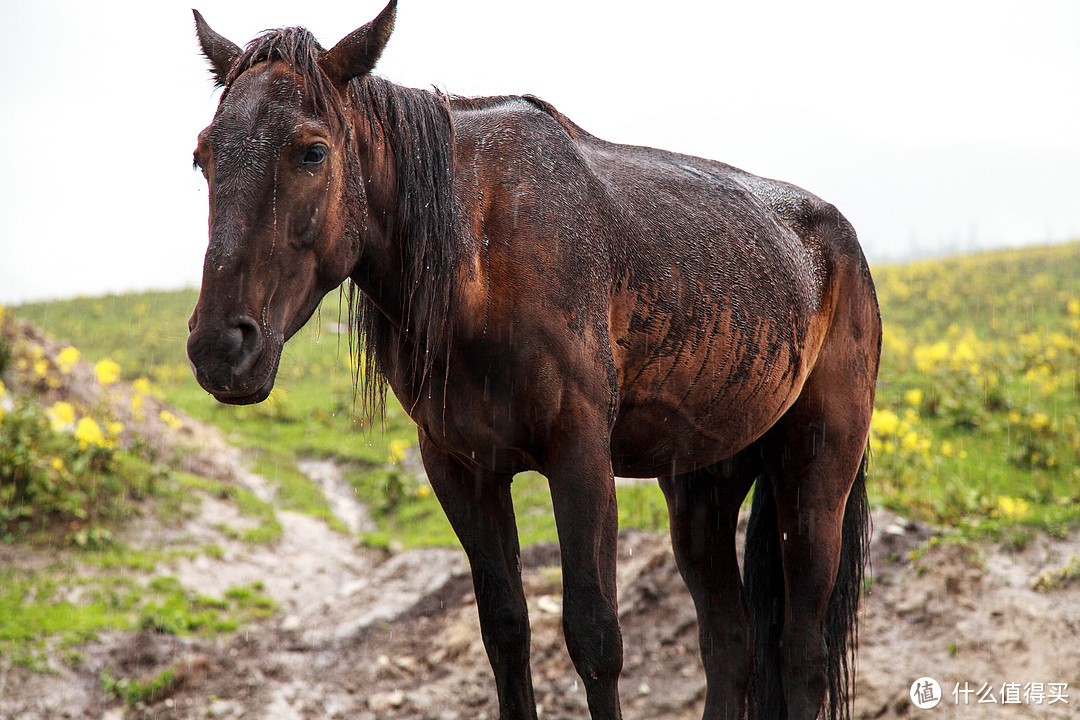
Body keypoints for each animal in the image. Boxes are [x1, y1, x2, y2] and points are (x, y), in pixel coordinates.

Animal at [185, 2, 876, 716]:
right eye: (203, 157)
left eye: (312, 151)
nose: (220, 348)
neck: (483, 258)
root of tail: (841, 242)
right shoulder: (462, 470)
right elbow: (505, 633)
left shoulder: (581, 461)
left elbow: (595, 639)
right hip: (701, 486)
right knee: (730, 645)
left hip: (815, 477)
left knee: (802, 652)